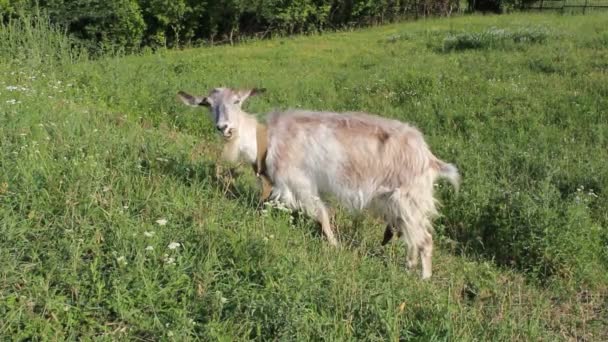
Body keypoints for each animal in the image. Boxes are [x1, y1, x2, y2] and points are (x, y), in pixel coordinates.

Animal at [178, 87, 458, 280]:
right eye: (208, 105)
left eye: (237, 101)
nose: (224, 127)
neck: (264, 140)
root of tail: (429, 158)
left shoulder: (300, 181)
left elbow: (322, 214)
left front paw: (334, 246)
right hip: (399, 203)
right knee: (413, 238)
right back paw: (409, 267)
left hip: (410, 199)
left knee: (425, 240)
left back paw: (423, 279)